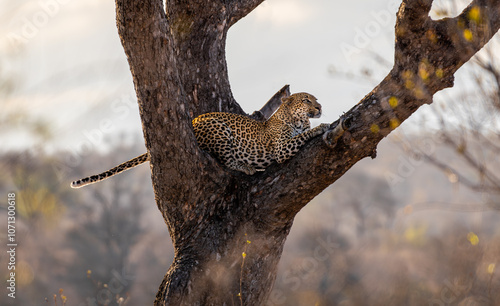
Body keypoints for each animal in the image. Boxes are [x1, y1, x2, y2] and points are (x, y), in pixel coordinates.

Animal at [71, 92, 344, 189]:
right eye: (306, 100)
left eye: (315, 99)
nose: (319, 107)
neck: (298, 120)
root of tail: (193, 121)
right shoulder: (281, 149)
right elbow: (305, 135)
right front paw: (323, 126)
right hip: (218, 128)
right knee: (227, 160)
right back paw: (247, 167)